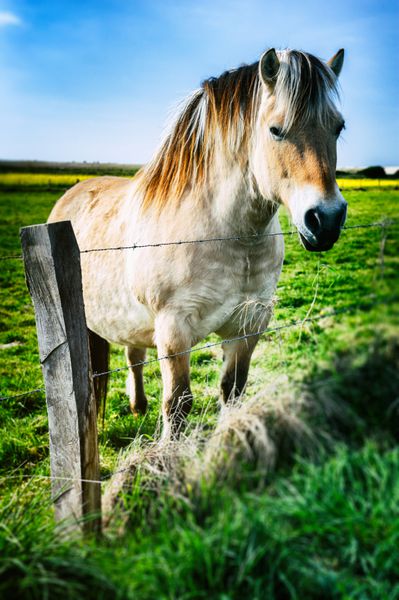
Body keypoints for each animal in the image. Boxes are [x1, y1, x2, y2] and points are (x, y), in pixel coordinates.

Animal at [48, 47, 348, 438]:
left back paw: (137, 406)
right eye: (275, 130)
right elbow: (177, 405)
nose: (326, 220)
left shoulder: (249, 324)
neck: (227, 234)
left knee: (133, 355)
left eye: (339, 127)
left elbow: (232, 390)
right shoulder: (174, 330)